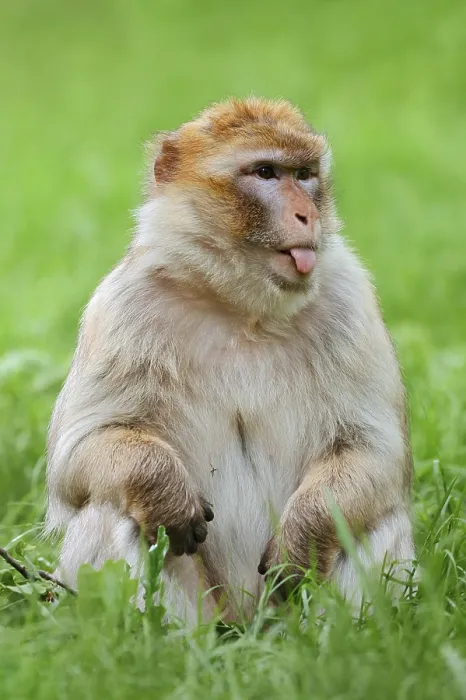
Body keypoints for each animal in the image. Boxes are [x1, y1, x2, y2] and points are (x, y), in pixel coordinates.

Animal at [45, 97, 415, 625]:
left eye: (305, 175)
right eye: (265, 172)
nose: (307, 214)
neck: (242, 309)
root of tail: (245, 621)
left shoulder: (351, 300)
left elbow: (372, 452)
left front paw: (303, 540)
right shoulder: (121, 308)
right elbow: (79, 456)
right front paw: (165, 495)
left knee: (376, 518)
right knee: (111, 508)